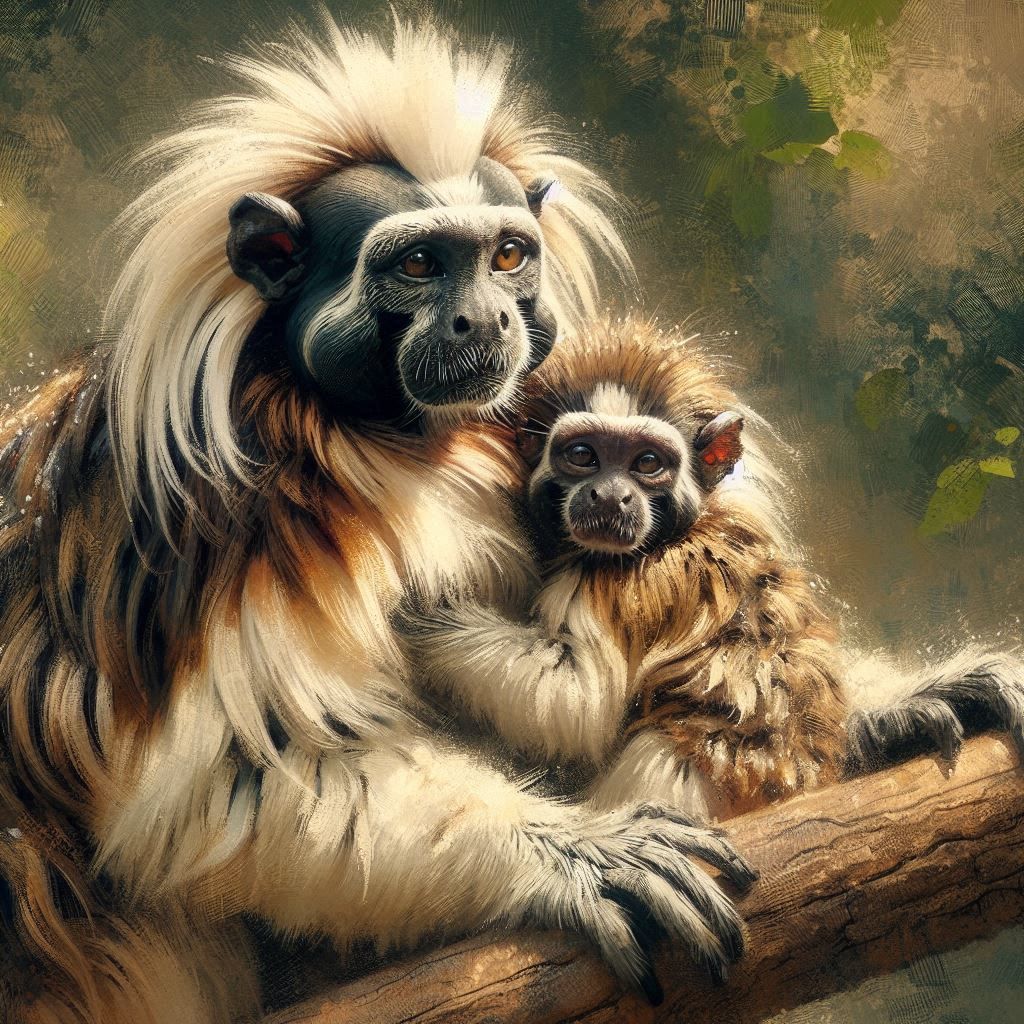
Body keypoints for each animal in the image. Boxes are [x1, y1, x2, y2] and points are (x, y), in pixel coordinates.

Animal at [0, 19, 756, 1020]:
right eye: (419, 264)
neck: (376, 437)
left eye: (507, 257)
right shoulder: (215, 536)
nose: (484, 322)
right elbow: (223, 792)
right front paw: (575, 851)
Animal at [401, 316, 1024, 830]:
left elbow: (574, 699)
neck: (680, 530)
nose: (611, 496)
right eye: (581, 456)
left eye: (647, 463)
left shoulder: (621, 583)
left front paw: (431, 619)